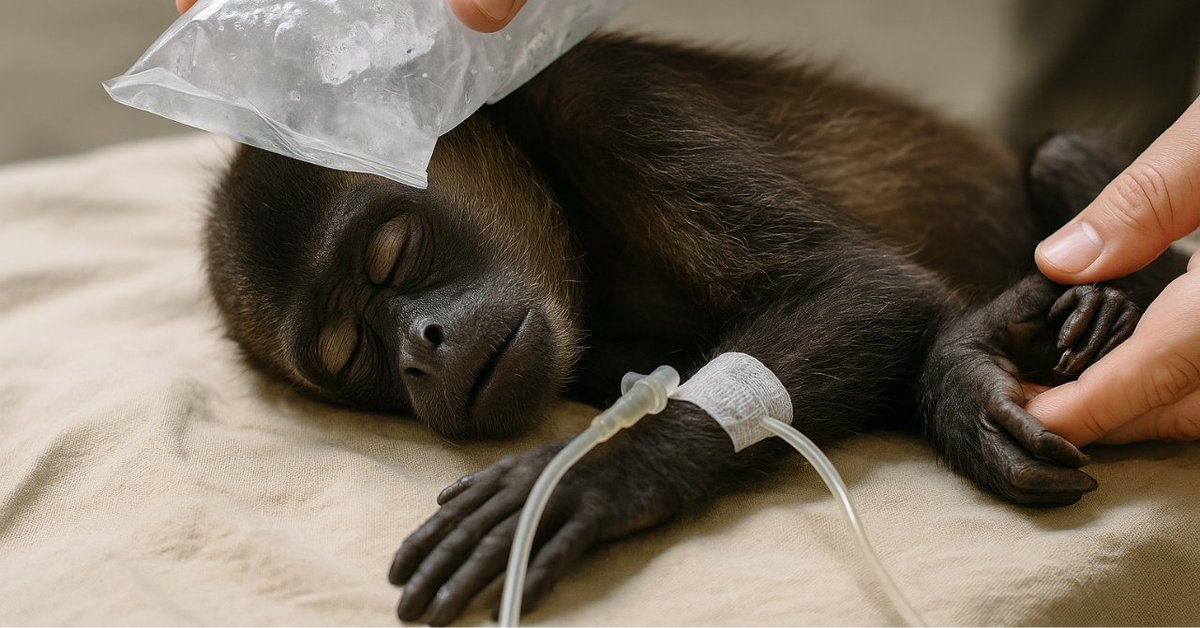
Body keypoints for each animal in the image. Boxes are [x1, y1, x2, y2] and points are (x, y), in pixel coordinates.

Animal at [203, 35, 1187, 624]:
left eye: (393, 252)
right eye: (349, 353)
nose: (420, 349)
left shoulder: (610, 101)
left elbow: (869, 285)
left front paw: (585, 478)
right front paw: (968, 367)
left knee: (1058, 157)